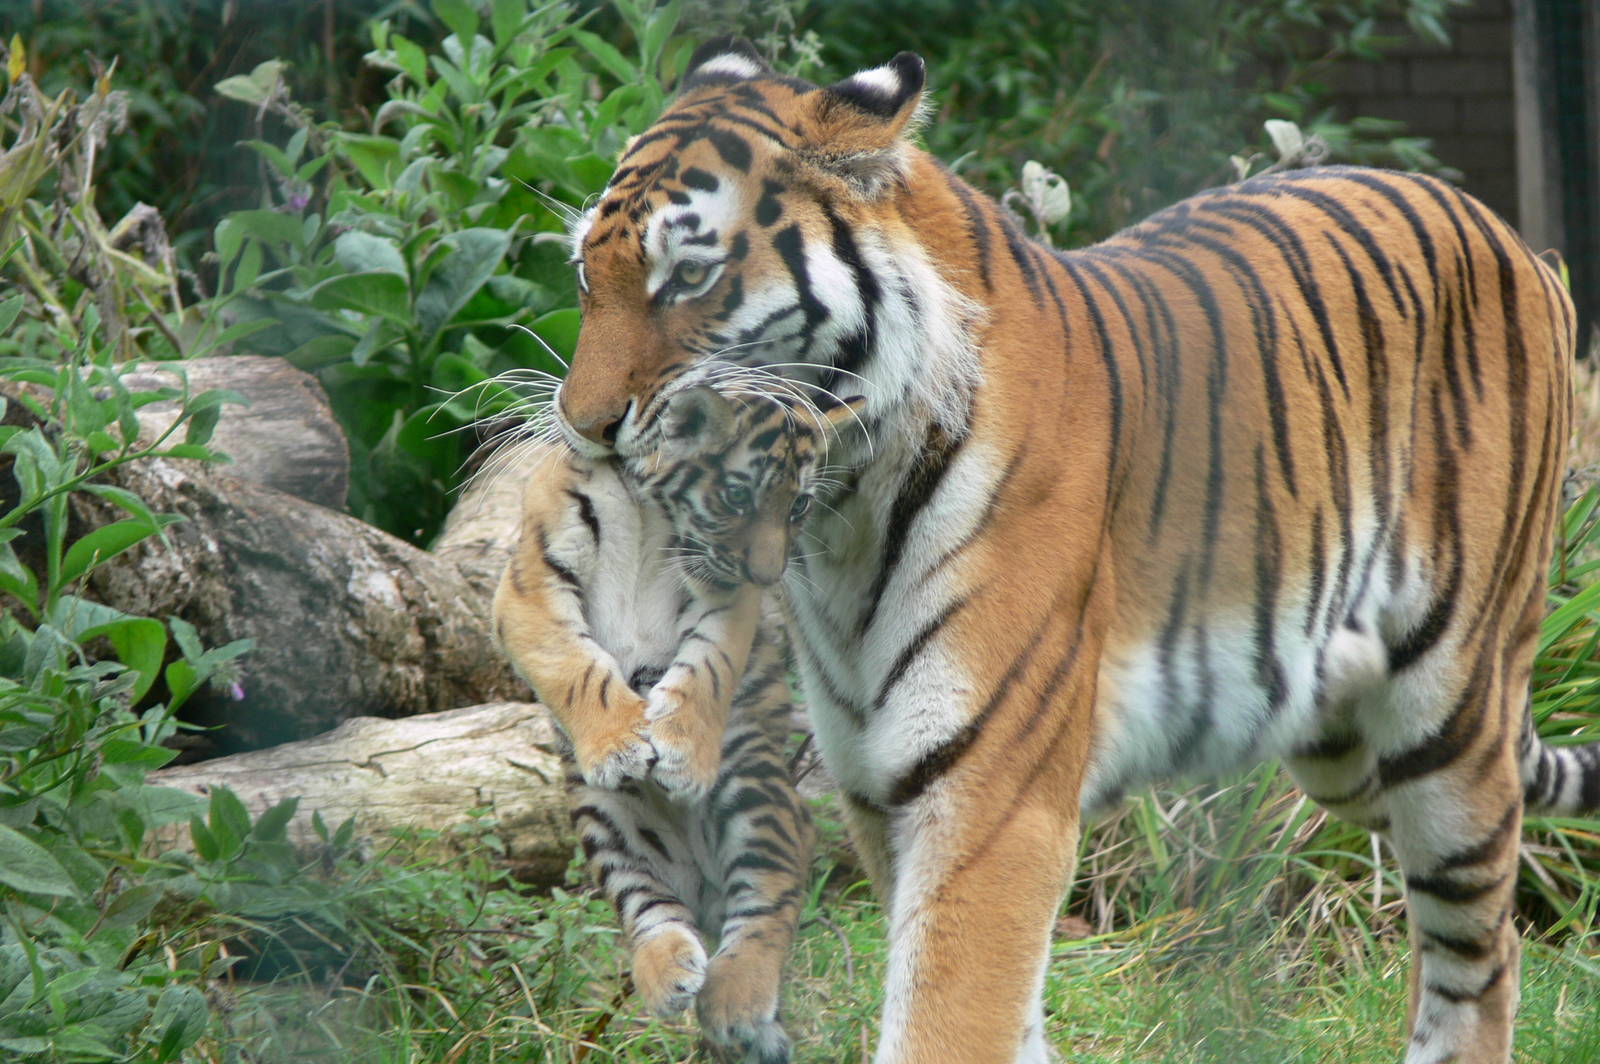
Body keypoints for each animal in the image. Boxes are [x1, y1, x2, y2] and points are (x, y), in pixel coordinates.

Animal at [492, 385, 861, 1061]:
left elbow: (706, 668)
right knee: (648, 906)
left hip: (759, 795)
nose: (768, 574)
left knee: (766, 900)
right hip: (606, 821)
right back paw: (667, 972)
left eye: (798, 505)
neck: (636, 492)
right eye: (737, 496)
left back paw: (735, 1003)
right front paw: (619, 742)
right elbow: (573, 664)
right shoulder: (529, 586)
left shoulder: (724, 596)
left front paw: (683, 757)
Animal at [543, 35, 1598, 1064]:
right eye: (586, 275)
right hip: (1343, 740)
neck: (837, 514)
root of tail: (1509, 233)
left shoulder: (989, 792)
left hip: (1448, 717)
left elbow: (946, 1019)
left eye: (689, 277)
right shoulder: (878, 784)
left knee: (1478, 954)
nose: (584, 427)